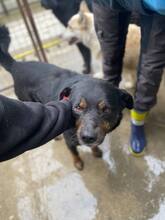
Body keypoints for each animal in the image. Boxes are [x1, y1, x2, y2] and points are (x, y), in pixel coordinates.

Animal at [0, 26, 133, 170]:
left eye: (106, 109)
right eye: (78, 107)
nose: (88, 137)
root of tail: (15, 65)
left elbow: (93, 147)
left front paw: (96, 151)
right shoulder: (69, 140)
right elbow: (74, 152)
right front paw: (78, 163)